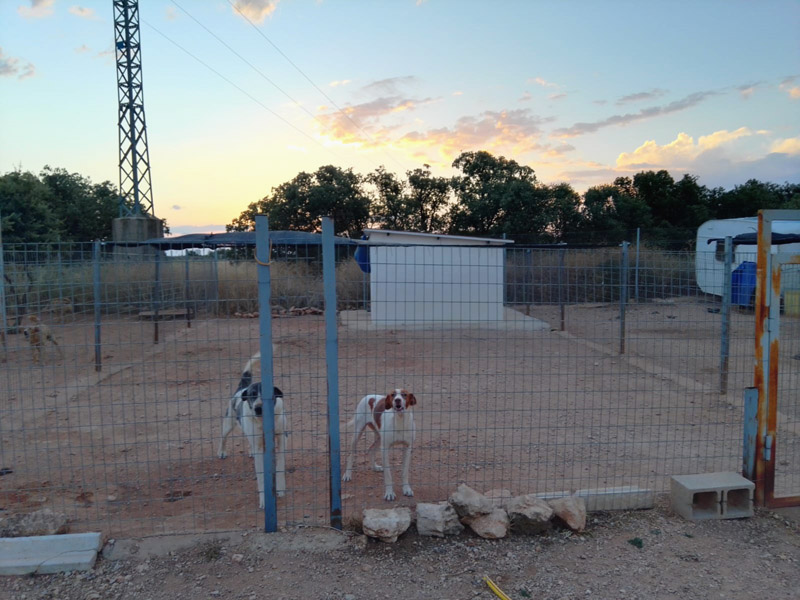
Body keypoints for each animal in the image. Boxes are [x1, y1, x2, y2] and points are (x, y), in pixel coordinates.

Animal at [217, 353, 286, 508]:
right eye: (252, 395)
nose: (258, 408)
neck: (264, 422)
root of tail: (242, 387)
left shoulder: (281, 442)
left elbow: (280, 467)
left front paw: (280, 489)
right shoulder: (259, 447)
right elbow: (261, 477)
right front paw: (264, 500)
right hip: (229, 422)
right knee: (223, 437)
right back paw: (222, 451)